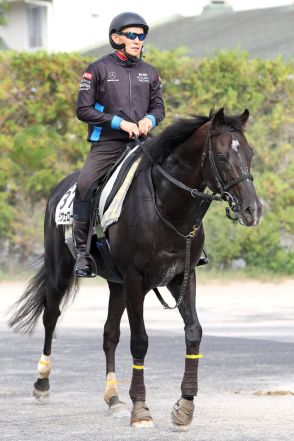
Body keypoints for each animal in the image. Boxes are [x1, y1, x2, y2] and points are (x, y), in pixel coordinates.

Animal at [9, 108, 262, 428]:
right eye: (221, 157)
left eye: (250, 153)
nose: (253, 209)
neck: (165, 208)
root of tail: (60, 188)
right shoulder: (135, 282)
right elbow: (140, 341)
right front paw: (140, 409)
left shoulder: (182, 277)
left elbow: (193, 332)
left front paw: (184, 405)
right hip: (61, 273)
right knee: (51, 317)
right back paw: (42, 383)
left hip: (115, 286)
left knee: (109, 335)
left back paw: (113, 398)